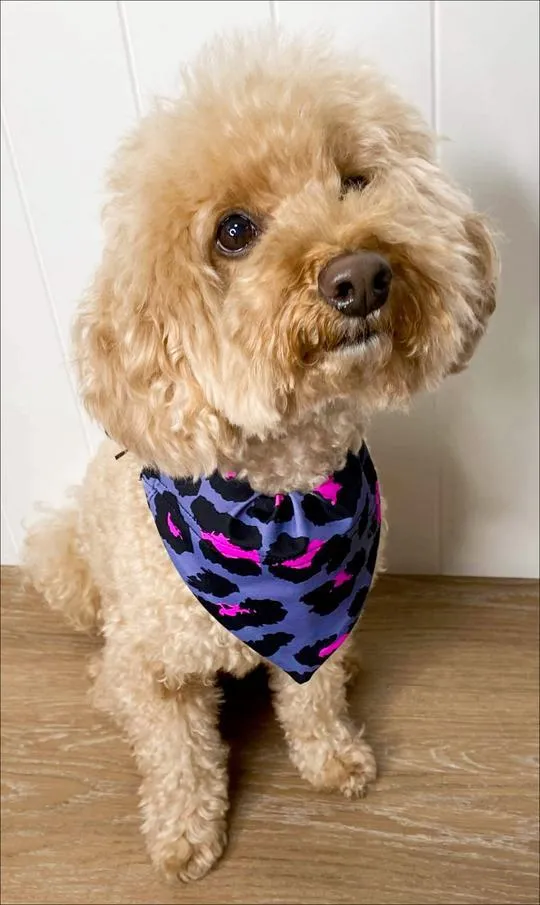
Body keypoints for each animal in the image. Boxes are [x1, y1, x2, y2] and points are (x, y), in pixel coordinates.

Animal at [25, 31, 498, 880]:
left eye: (355, 179)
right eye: (234, 231)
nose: (361, 276)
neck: (282, 492)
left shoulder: (323, 626)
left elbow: (314, 696)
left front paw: (334, 757)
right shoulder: (159, 669)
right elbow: (177, 754)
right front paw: (183, 834)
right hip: (63, 557)